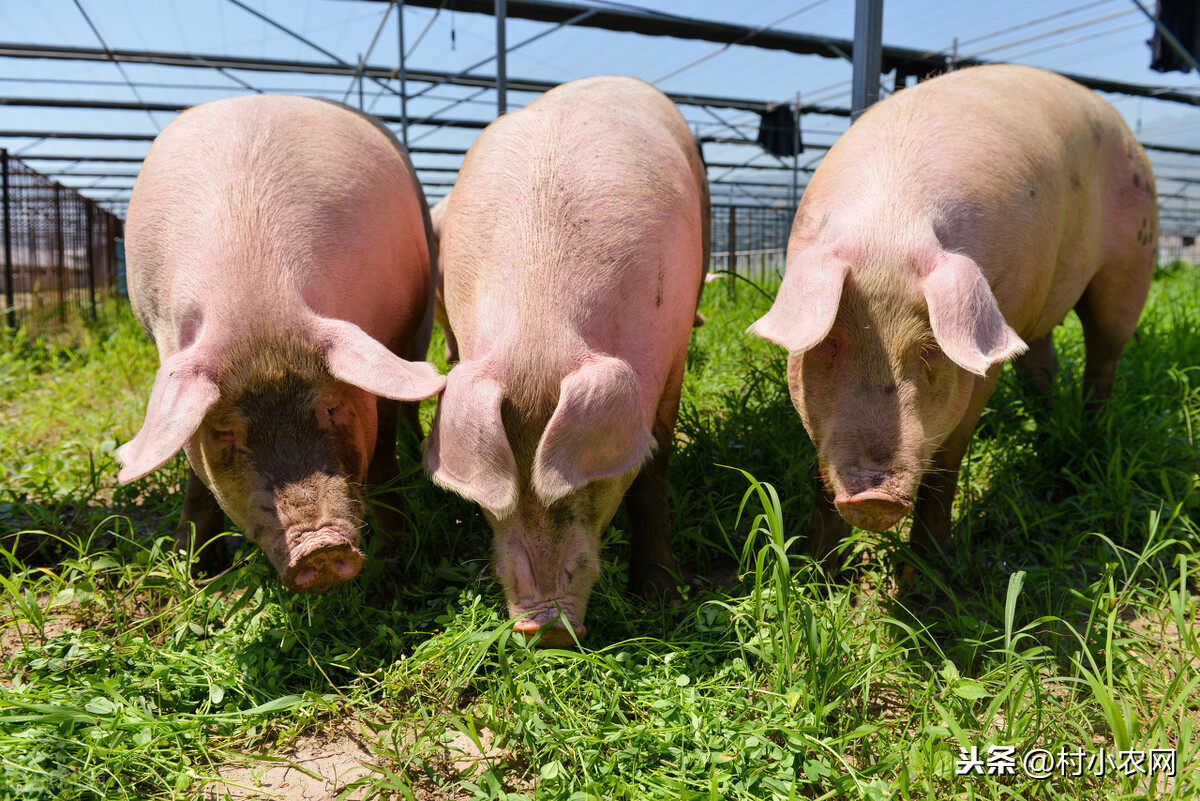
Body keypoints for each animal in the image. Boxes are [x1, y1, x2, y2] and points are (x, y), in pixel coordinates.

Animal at [118, 95, 446, 594]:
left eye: (331, 408)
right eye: (225, 433)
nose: (320, 547)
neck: (254, 302)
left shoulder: (388, 334)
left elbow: (383, 449)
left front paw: (396, 558)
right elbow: (195, 478)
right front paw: (194, 570)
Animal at [424, 74, 705, 647]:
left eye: (592, 484)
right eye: (494, 500)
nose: (545, 628)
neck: (539, 332)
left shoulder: (672, 358)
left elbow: (655, 468)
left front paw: (662, 597)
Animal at [748, 62, 1152, 561]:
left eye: (931, 350)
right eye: (831, 343)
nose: (873, 498)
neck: (890, 225)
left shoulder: (984, 361)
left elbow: (947, 462)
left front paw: (929, 568)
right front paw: (817, 562)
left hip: (1133, 258)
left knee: (1104, 354)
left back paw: (1089, 436)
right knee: (1042, 361)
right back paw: (1046, 428)